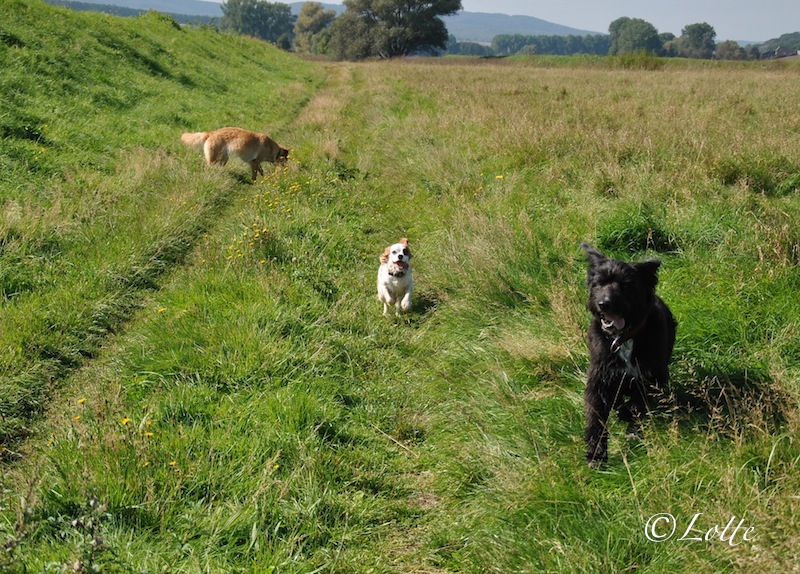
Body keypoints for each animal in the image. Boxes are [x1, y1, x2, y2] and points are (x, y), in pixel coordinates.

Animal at [581, 243, 676, 467]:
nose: (604, 303)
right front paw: (596, 454)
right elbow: (596, 417)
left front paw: (628, 418)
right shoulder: (599, 380)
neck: (622, 338)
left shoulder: (651, 377)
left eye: (626, 285)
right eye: (599, 283)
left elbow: (637, 405)